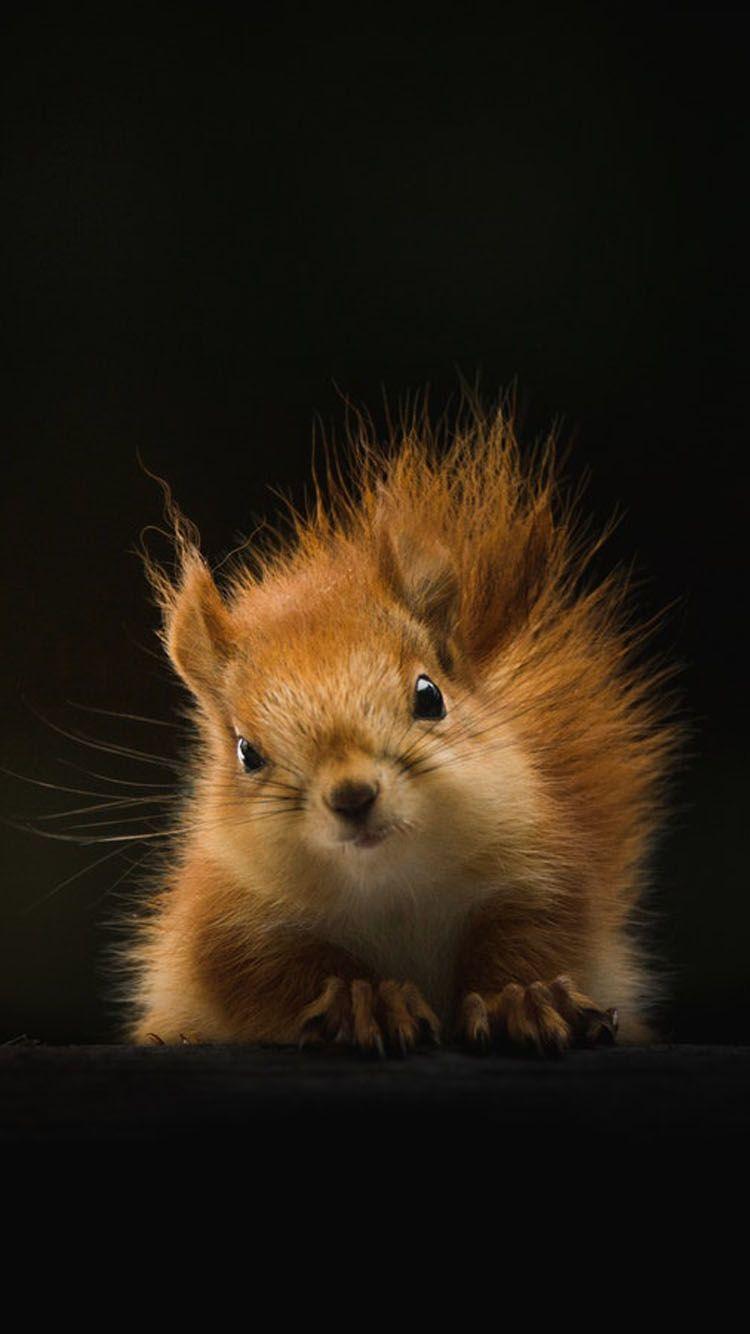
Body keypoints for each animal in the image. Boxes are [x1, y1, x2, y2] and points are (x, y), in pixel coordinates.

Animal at [121, 399, 679, 1053]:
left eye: (430, 696)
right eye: (246, 753)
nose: (352, 795)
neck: (389, 885)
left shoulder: (541, 869)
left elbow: (534, 938)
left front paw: (524, 997)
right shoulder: (227, 923)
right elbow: (276, 975)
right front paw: (366, 1001)